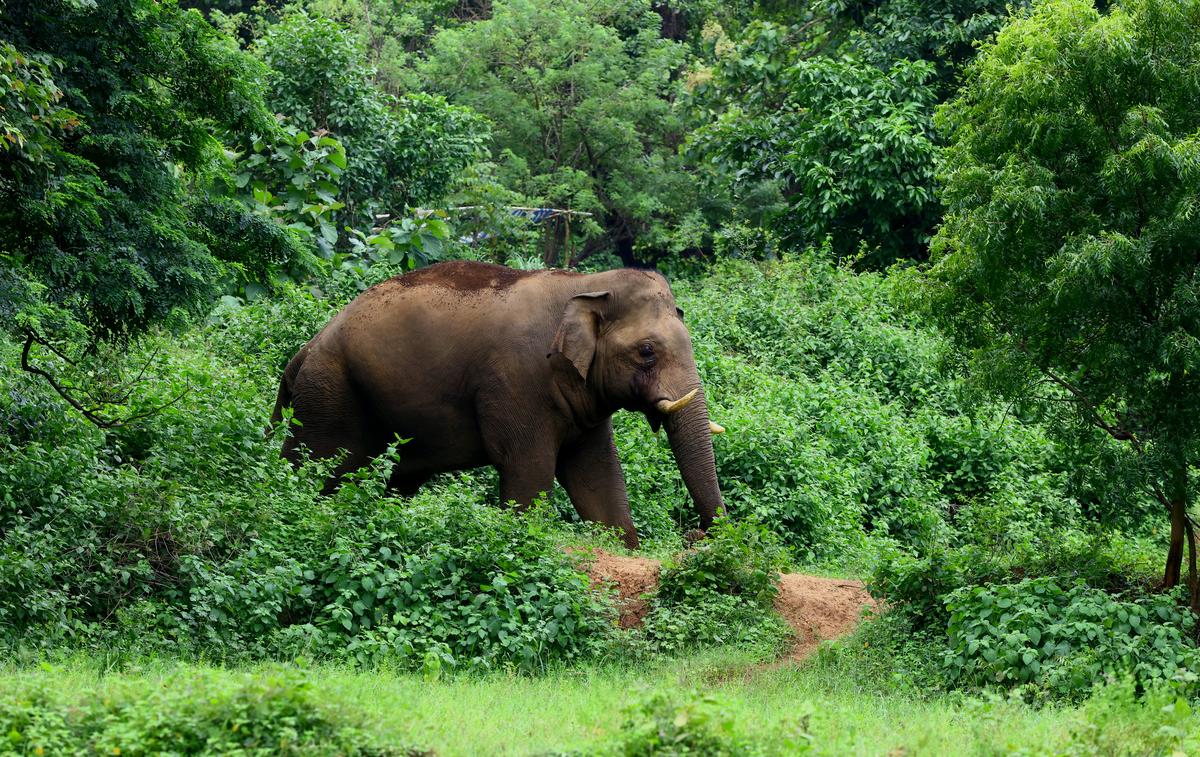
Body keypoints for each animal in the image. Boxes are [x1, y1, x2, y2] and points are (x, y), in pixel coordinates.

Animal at [270, 260, 726, 548]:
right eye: (647, 352)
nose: (694, 535)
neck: (587, 283)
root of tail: (303, 352)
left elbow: (597, 474)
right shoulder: (517, 381)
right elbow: (529, 469)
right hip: (330, 395)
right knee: (316, 468)